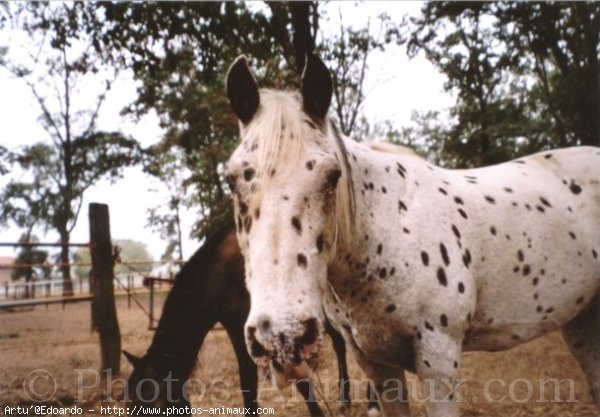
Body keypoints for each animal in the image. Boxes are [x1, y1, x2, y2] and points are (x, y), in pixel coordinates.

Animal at [122, 219, 378, 414]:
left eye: (151, 403)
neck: (225, 271)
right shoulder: (236, 327)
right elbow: (247, 381)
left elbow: (299, 380)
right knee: (341, 345)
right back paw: (346, 399)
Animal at [224, 53, 600, 414]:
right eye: (231, 179)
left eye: (332, 176)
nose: (282, 337)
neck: (384, 238)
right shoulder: (374, 364)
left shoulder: (438, 359)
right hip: (582, 323)